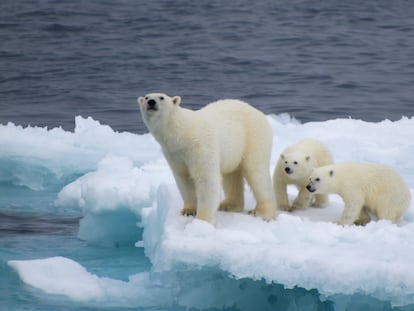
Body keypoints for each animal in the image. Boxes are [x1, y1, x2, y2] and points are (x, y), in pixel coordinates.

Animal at [137, 92, 276, 224]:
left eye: (161, 97)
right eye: (146, 97)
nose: (151, 102)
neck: (181, 134)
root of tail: (258, 112)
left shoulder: (200, 146)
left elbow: (206, 179)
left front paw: (202, 220)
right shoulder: (174, 153)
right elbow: (183, 178)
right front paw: (188, 210)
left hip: (253, 137)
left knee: (256, 172)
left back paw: (262, 212)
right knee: (231, 175)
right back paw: (228, 205)